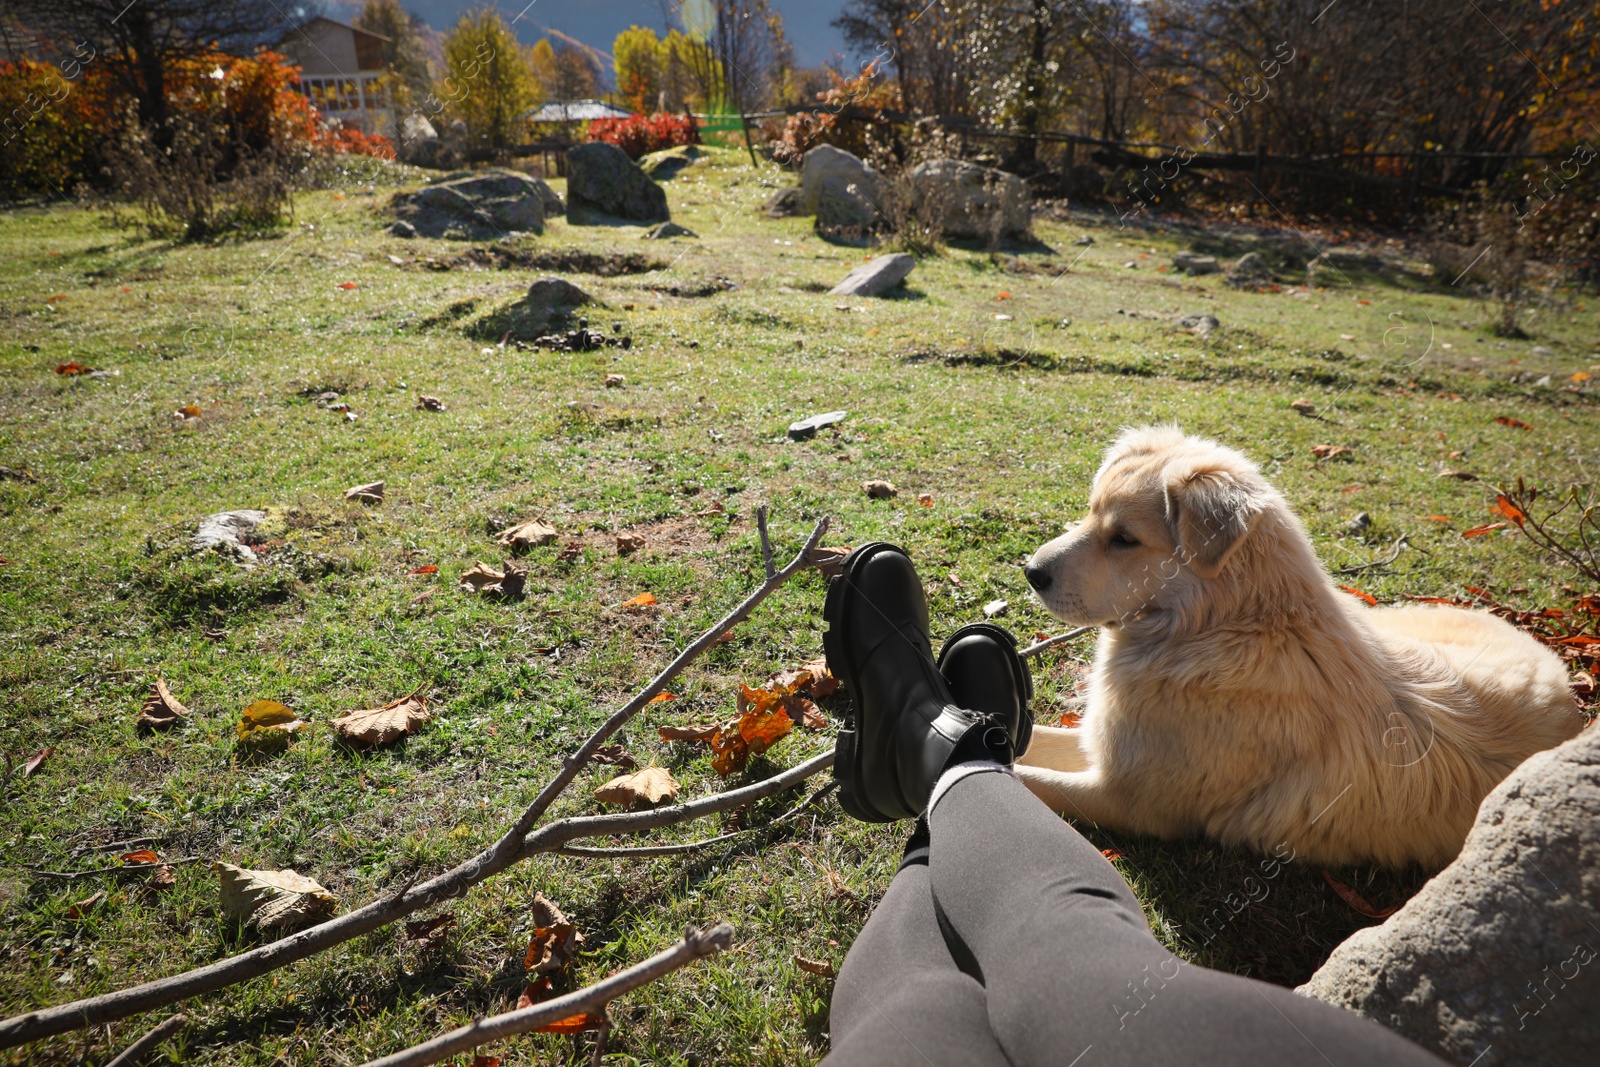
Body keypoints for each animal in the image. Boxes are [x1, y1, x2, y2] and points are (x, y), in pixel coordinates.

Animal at [1017, 425, 1580, 870]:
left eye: (1125, 539)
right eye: (1091, 513)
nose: (1031, 573)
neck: (1224, 626)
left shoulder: (1126, 798)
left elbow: (1030, 779)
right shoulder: (1100, 748)